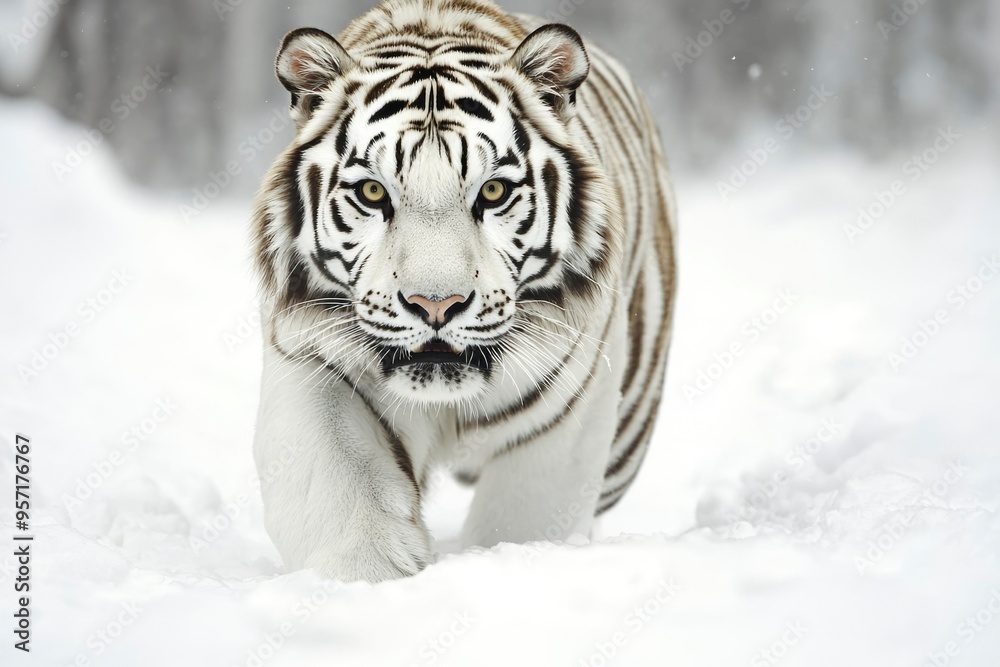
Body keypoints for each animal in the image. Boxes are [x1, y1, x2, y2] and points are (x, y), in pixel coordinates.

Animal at [251, 0, 676, 582]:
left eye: (492, 191)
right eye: (372, 192)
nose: (436, 305)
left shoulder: (568, 414)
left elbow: (521, 521)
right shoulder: (310, 359)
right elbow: (341, 488)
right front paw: (367, 576)